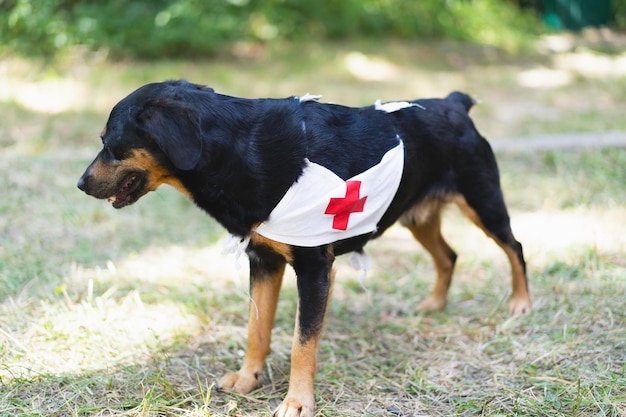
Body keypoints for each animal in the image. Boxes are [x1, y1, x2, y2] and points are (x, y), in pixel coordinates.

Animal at [75, 79, 528, 416]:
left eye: (110, 143)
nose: (80, 183)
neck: (238, 151)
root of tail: (453, 104)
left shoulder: (313, 270)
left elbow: (301, 343)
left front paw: (297, 402)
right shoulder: (263, 260)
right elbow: (256, 329)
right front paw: (248, 379)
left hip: (484, 203)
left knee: (515, 248)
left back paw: (520, 304)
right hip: (418, 217)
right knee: (448, 256)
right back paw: (434, 304)